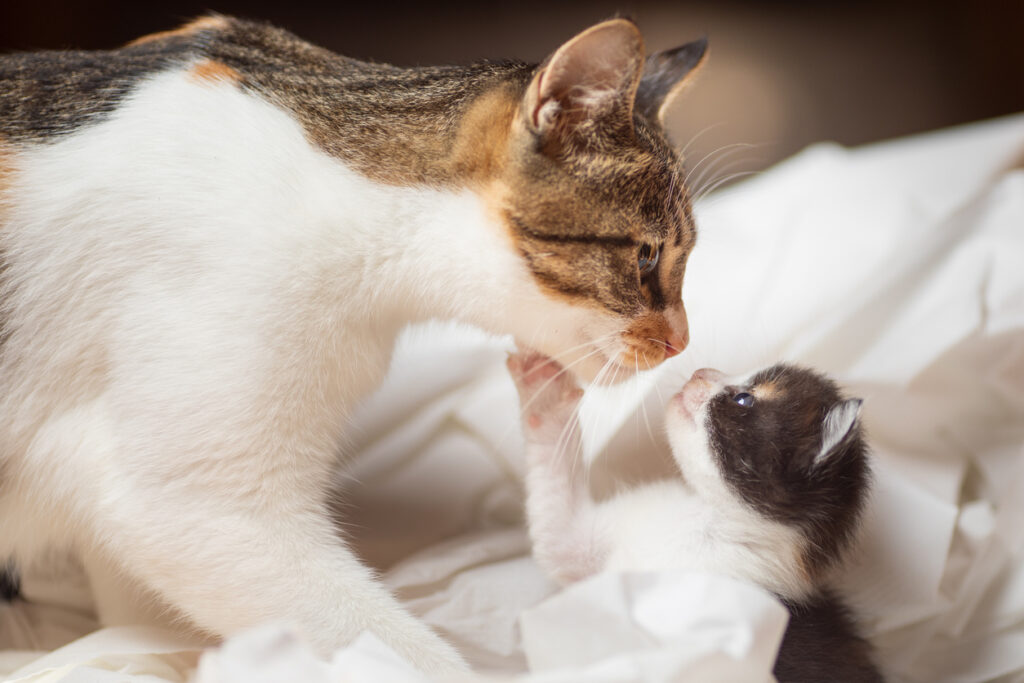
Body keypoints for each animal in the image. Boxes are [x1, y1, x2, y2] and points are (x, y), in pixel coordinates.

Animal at [507, 356, 884, 679]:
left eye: (744, 399)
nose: (701, 371)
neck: (704, 524)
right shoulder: (588, 544)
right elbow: (558, 531)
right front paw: (545, 388)